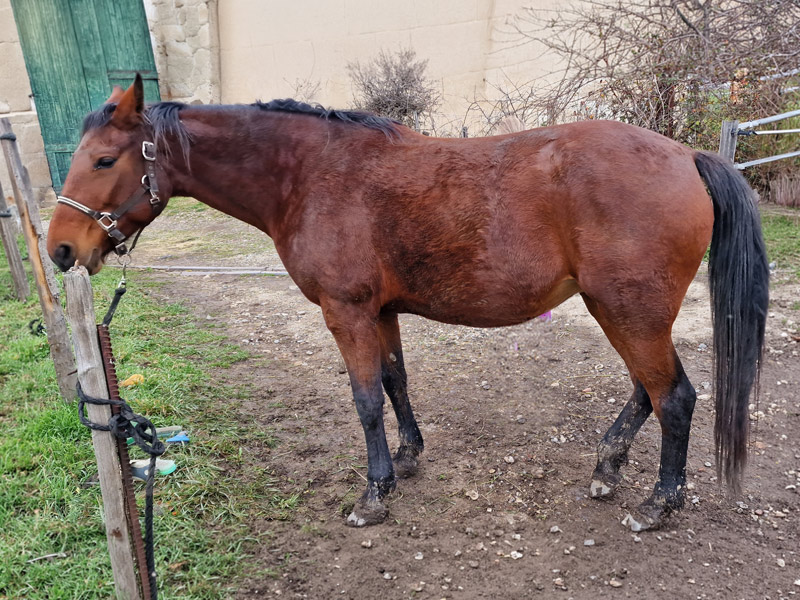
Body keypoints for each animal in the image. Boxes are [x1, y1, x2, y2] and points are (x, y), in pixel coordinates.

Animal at [47, 75, 768, 531]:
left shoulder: (346, 311)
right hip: (624, 311)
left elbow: (366, 398)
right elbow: (395, 382)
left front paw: (374, 493)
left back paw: (658, 504)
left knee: (674, 397)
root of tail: (687, 156)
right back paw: (608, 465)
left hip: (629, 312)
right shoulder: (382, 312)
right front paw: (409, 457)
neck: (310, 176)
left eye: (105, 159)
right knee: (650, 391)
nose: (59, 249)